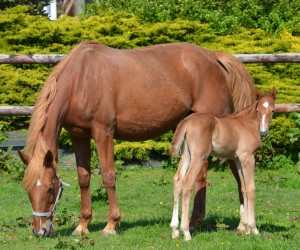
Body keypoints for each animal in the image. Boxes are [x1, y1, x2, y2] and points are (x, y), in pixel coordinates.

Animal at [17, 40, 255, 236]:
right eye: (27, 189)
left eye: (50, 187)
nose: (40, 231)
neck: (81, 80)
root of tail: (213, 57)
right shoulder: (79, 136)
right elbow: (84, 178)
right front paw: (82, 226)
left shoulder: (103, 133)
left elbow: (108, 176)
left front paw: (111, 225)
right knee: (201, 176)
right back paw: (195, 221)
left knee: (238, 174)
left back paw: (243, 225)